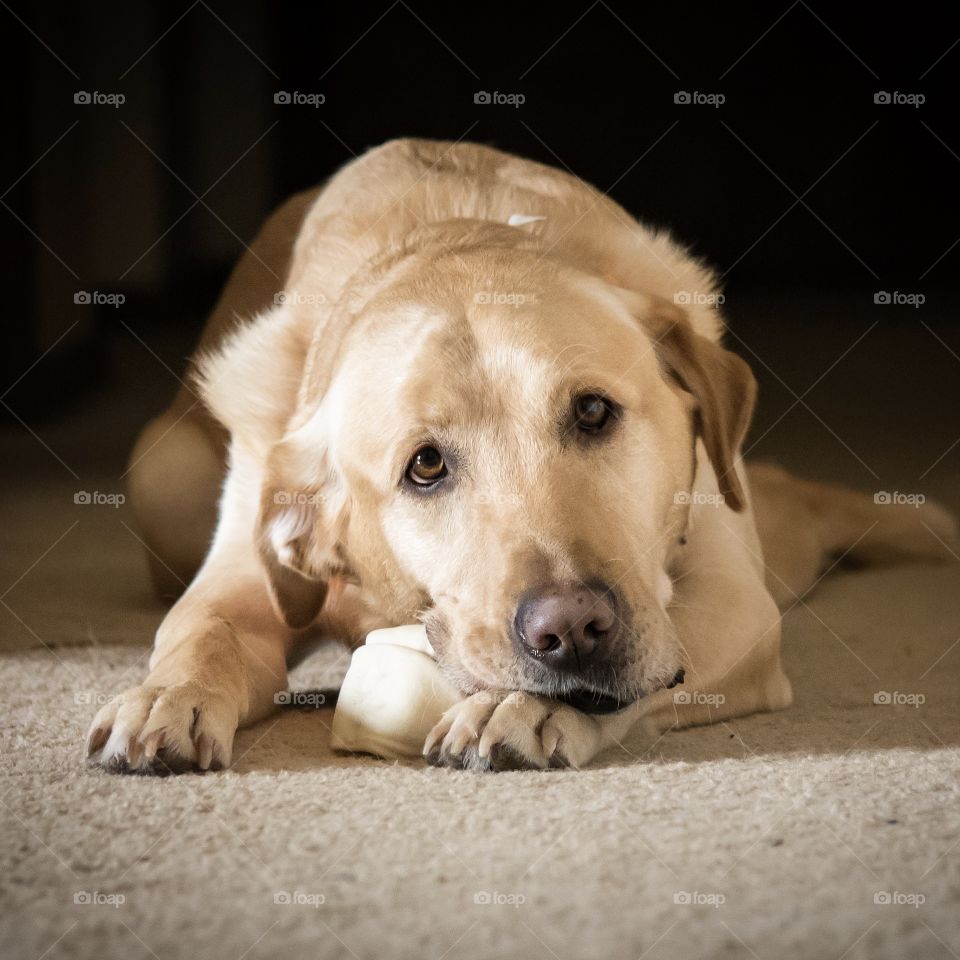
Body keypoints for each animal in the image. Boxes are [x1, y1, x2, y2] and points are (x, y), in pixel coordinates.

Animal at [86, 139, 956, 772]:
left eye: (594, 411)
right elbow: (200, 630)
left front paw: (520, 705)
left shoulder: (736, 600)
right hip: (161, 476)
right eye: (425, 466)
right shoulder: (243, 575)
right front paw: (165, 697)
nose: (571, 630)